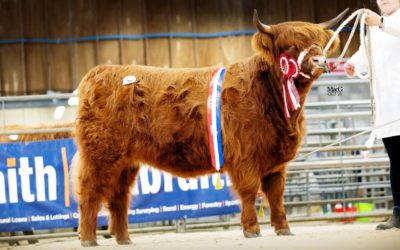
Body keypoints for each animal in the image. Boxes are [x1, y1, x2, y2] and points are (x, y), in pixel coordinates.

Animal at [73, 9, 346, 246]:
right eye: (290, 46)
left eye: (320, 43)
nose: (320, 60)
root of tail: (100, 71)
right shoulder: (245, 156)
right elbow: (249, 191)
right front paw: (251, 229)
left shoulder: (275, 161)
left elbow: (276, 195)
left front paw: (283, 229)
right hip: (100, 154)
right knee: (90, 192)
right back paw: (88, 239)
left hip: (125, 162)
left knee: (119, 196)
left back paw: (124, 239)